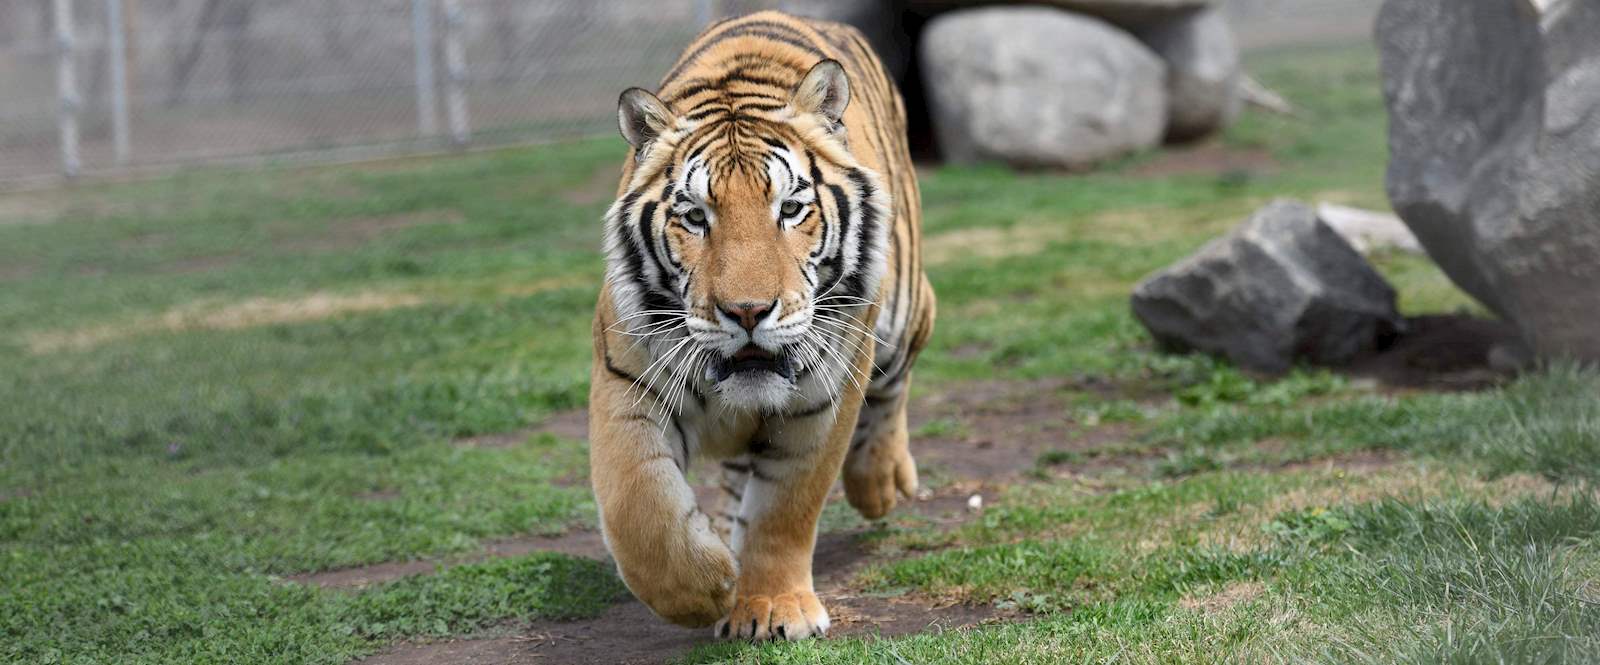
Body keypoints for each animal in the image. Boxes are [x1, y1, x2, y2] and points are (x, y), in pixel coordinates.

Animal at [588, 10, 934, 642]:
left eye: (791, 209)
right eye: (695, 217)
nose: (747, 311)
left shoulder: (823, 402)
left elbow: (785, 508)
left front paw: (774, 606)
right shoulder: (625, 381)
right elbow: (637, 507)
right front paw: (708, 587)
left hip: (904, 306)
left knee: (895, 380)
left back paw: (879, 482)